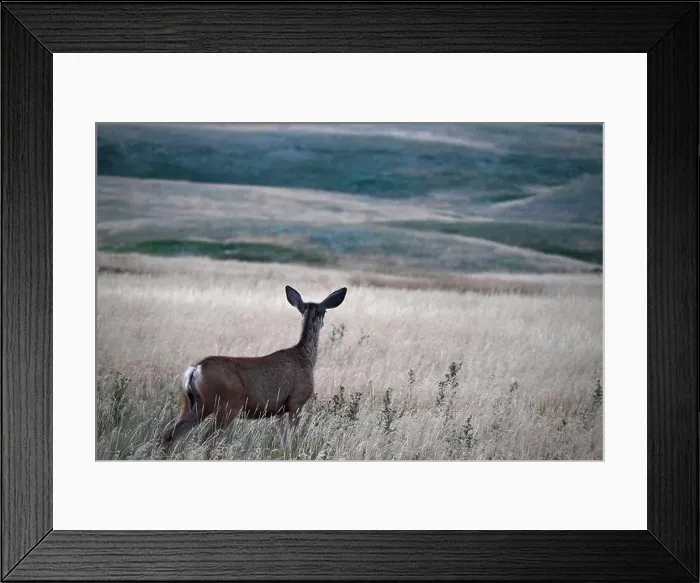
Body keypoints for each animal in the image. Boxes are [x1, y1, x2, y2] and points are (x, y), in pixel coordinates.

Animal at [160, 284, 347, 453]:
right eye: (324, 311)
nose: (323, 322)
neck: (305, 358)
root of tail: (196, 369)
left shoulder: (279, 409)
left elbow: (284, 442)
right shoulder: (296, 402)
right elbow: (293, 441)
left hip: (192, 404)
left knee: (170, 433)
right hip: (226, 406)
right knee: (206, 440)